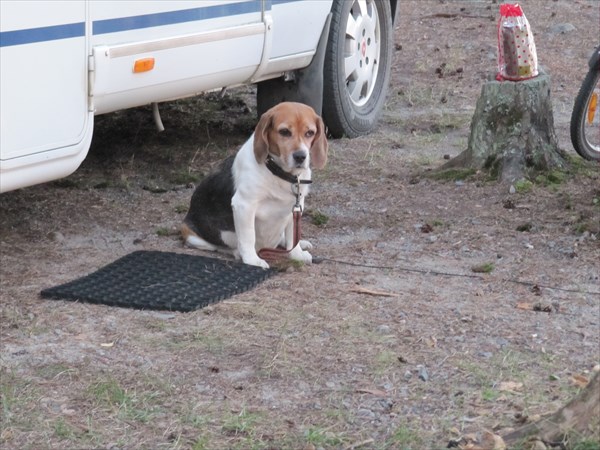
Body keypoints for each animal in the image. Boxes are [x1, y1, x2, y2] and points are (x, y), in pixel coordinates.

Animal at [182, 102, 328, 268]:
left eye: (310, 132)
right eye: (284, 132)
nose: (300, 156)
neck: (277, 172)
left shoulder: (296, 206)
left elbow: (292, 236)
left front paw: (296, 254)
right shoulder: (244, 205)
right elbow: (248, 236)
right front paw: (252, 260)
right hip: (193, 235)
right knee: (221, 246)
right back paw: (238, 252)